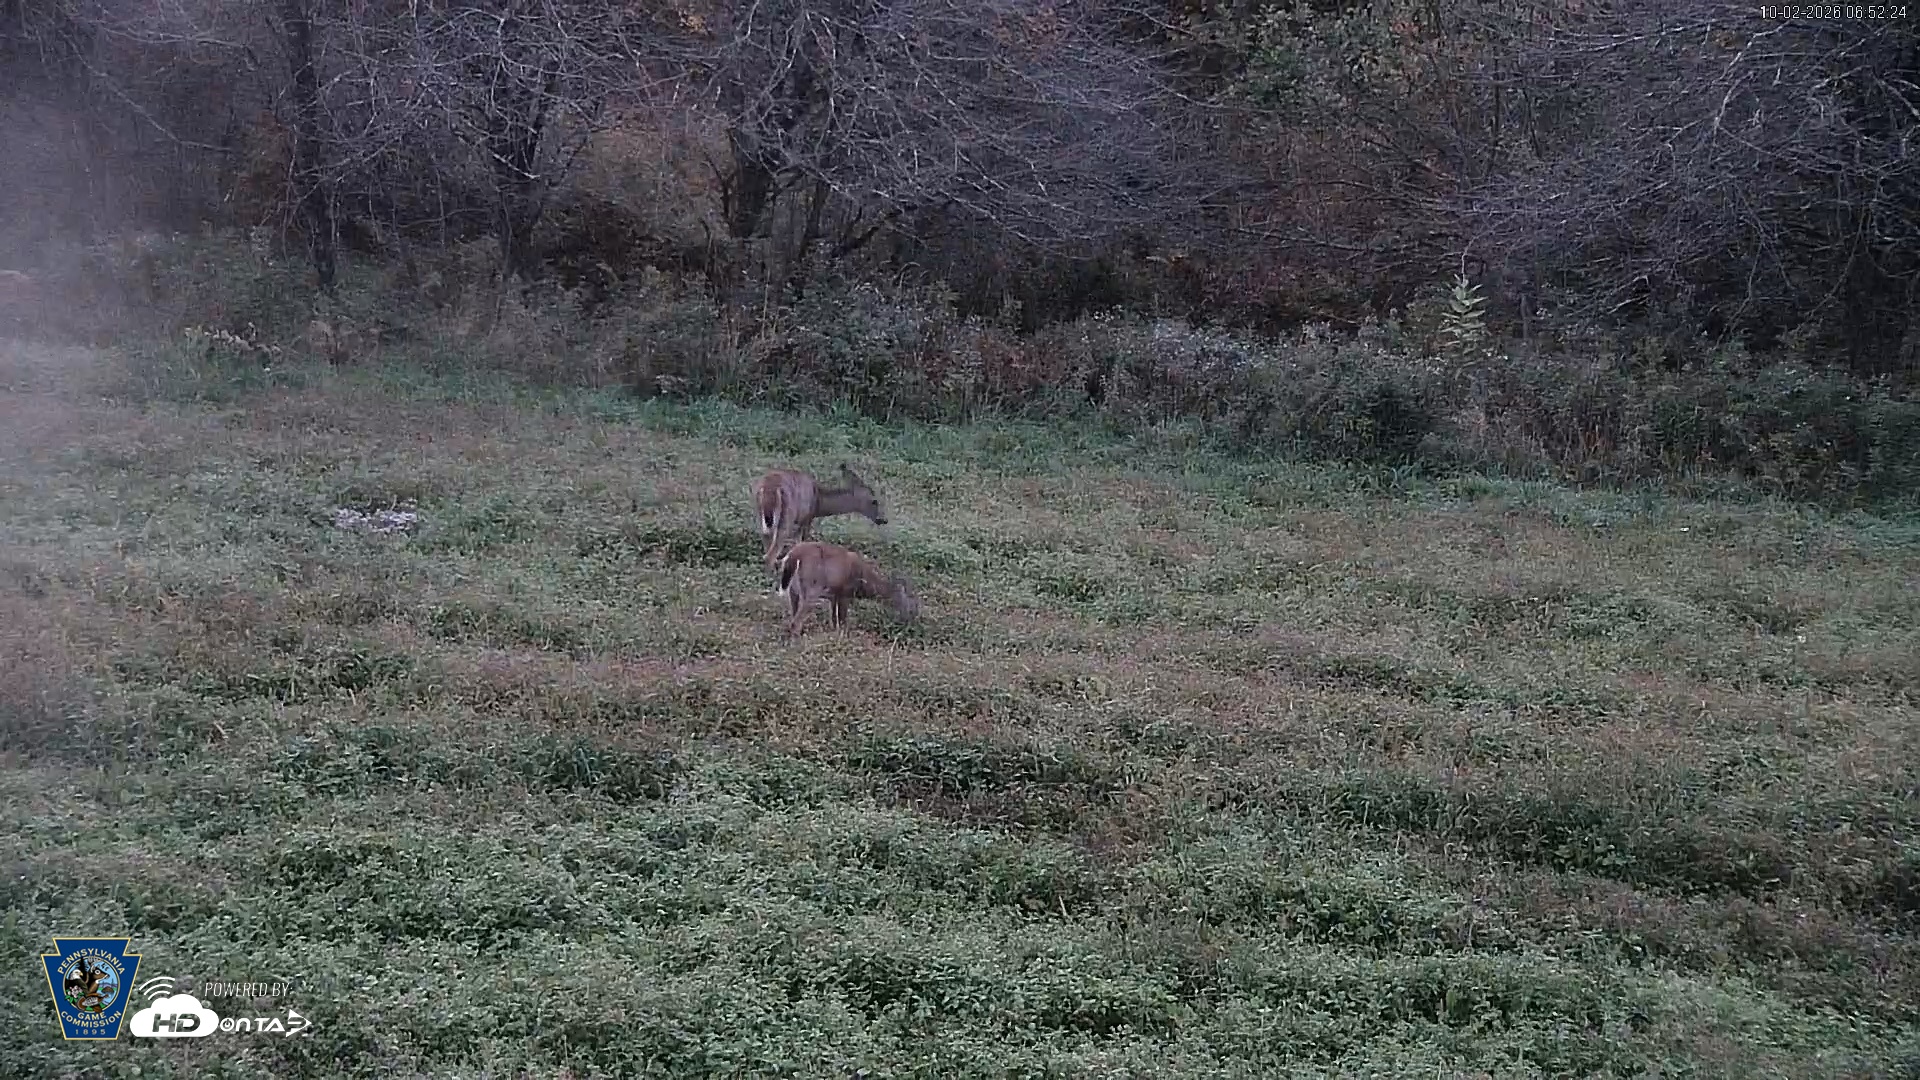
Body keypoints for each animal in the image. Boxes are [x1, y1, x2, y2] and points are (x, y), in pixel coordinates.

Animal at [753, 464, 888, 572]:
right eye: (874, 501)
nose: (883, 520)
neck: (819, 499)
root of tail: (769, 488)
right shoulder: (806, 519)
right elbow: (800, 543)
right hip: (787, 517)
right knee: (770, 553)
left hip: (762, 517)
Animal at [776, 541, 920, 637]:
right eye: (912, 603)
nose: (914, 618)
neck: (864, 581)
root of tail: (793, 555)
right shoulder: (845, 593)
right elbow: (842, 619)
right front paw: (844, 636)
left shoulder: (834, 595)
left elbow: (834, 619)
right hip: (812, 587)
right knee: (796, 621)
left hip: (793, 589)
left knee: (793, 614)